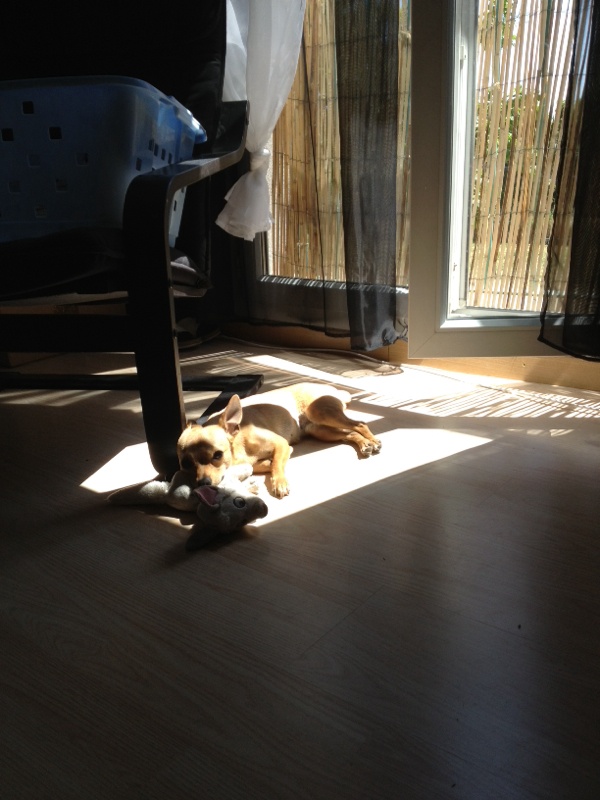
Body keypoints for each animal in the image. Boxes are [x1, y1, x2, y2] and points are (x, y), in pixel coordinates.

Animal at [177, 381, 381, 498]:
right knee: (350, 433)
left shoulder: (281, 444)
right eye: (185, 464)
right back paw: (365, 444)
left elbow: (276, 464)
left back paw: (373, 441)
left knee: (360, 424)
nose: (203, 484)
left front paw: (279, 483)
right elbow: (261, 465)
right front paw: (266, 465)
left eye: (217, 455)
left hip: (320, 412)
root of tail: (332, 389)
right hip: (319, 430)